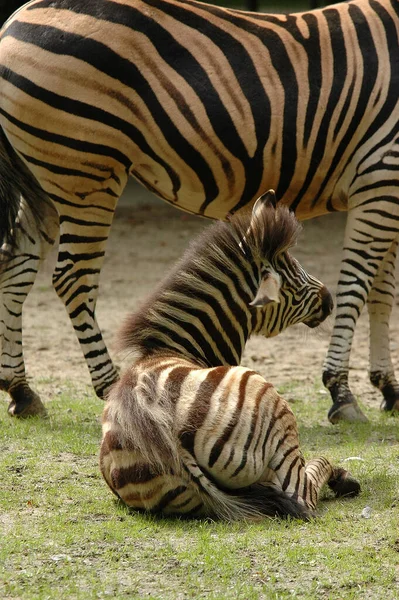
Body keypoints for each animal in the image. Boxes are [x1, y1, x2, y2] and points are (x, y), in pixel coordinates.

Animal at [0, 0, 398, 422]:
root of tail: (15, 19)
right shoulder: (381, 176)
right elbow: (357, 288)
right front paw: (342, 392)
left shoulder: (387, 193)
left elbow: (382, 293)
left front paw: (389, 387)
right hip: (87, 171)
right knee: (72, 279)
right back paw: (108, 385)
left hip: (46, 179)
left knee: (17, 264)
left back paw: (22, 391)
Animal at [99, 193, 360, 520]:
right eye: (291, 280)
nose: (329, 300)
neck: (174, 347)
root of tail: (166, 432)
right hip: (275, 412)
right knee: (303, 492)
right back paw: (343, 480)